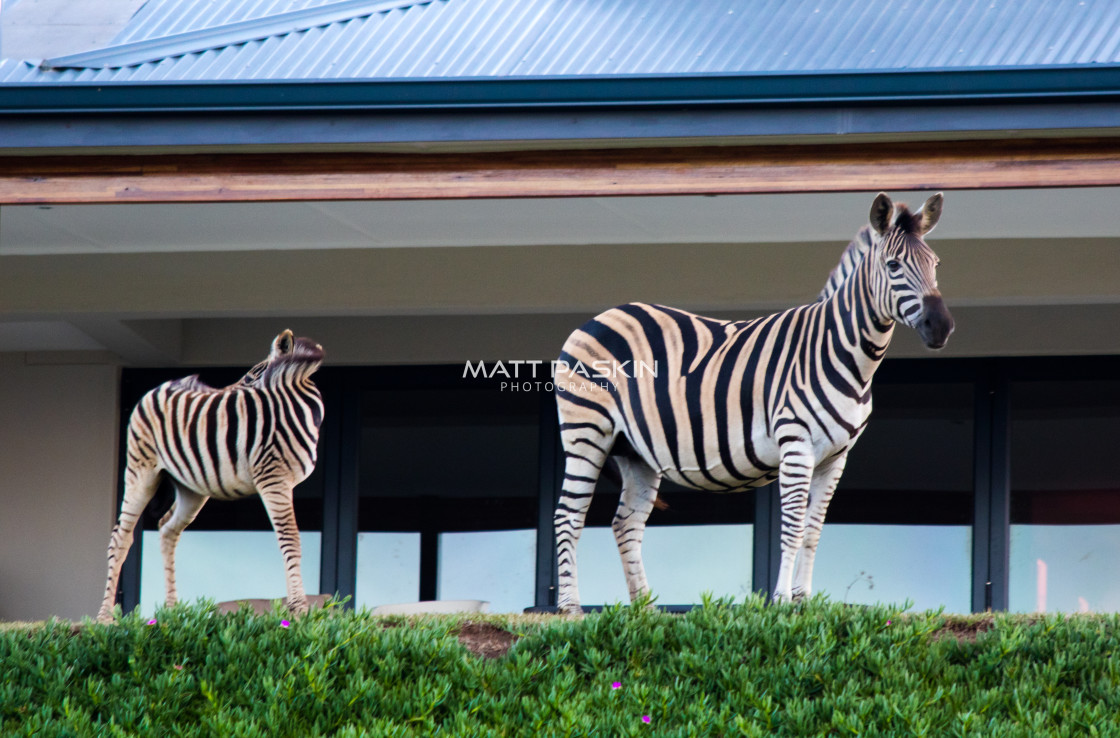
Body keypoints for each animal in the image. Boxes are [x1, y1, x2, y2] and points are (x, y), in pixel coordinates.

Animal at [95, 331, 324, 627]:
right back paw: (103, 618)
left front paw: (297, 607)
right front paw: (300, 609)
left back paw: (172, 611)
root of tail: (162, 386)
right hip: (140, 468)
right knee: (121, 537)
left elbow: (290, 538)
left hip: (191, 486)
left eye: (251, 376)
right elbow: (290, 538)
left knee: (168, 528)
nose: (225, 391)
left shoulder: (287, 484)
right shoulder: (273, 478)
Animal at [553, 190, 954, 613]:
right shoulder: (796, 443)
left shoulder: (836, 457)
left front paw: (804, 601)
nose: (941, 327)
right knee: (568, 515)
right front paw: (780, 600)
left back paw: (645, 610)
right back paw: (570, 609)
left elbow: (813, 529)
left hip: (635, 451)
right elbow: (792, 526)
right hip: (587, 430)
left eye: (935, 265)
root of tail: (598, 317)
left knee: (625, 523)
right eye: (893, 265)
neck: (843, 353)